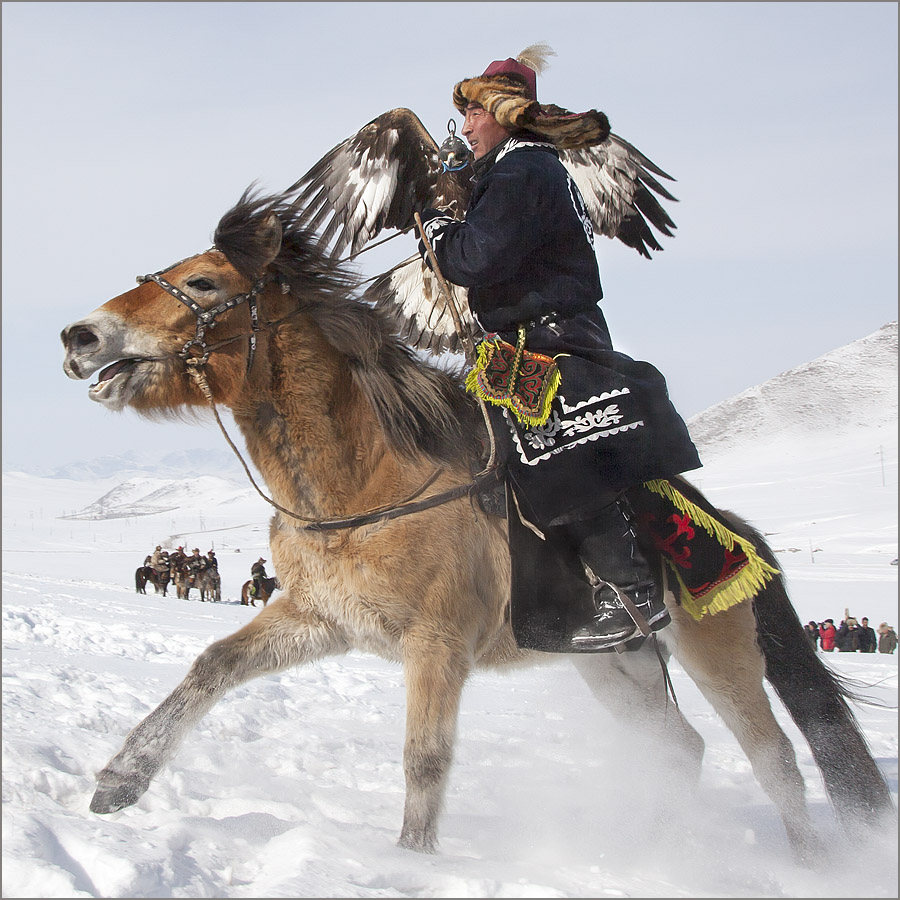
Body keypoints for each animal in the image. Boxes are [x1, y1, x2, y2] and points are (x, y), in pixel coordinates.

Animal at [59, 188, 888, 856]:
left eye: (204, 282)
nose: (80, 337)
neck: (365, 486)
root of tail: (735, 530)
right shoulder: (319, 618)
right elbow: (211, 667)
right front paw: (119, 781)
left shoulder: (439, 644)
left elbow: (425, 760)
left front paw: (410, 864)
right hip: (616, 668)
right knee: (680, 750)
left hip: (720, 651)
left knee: (776, 760)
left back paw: (809, 864)